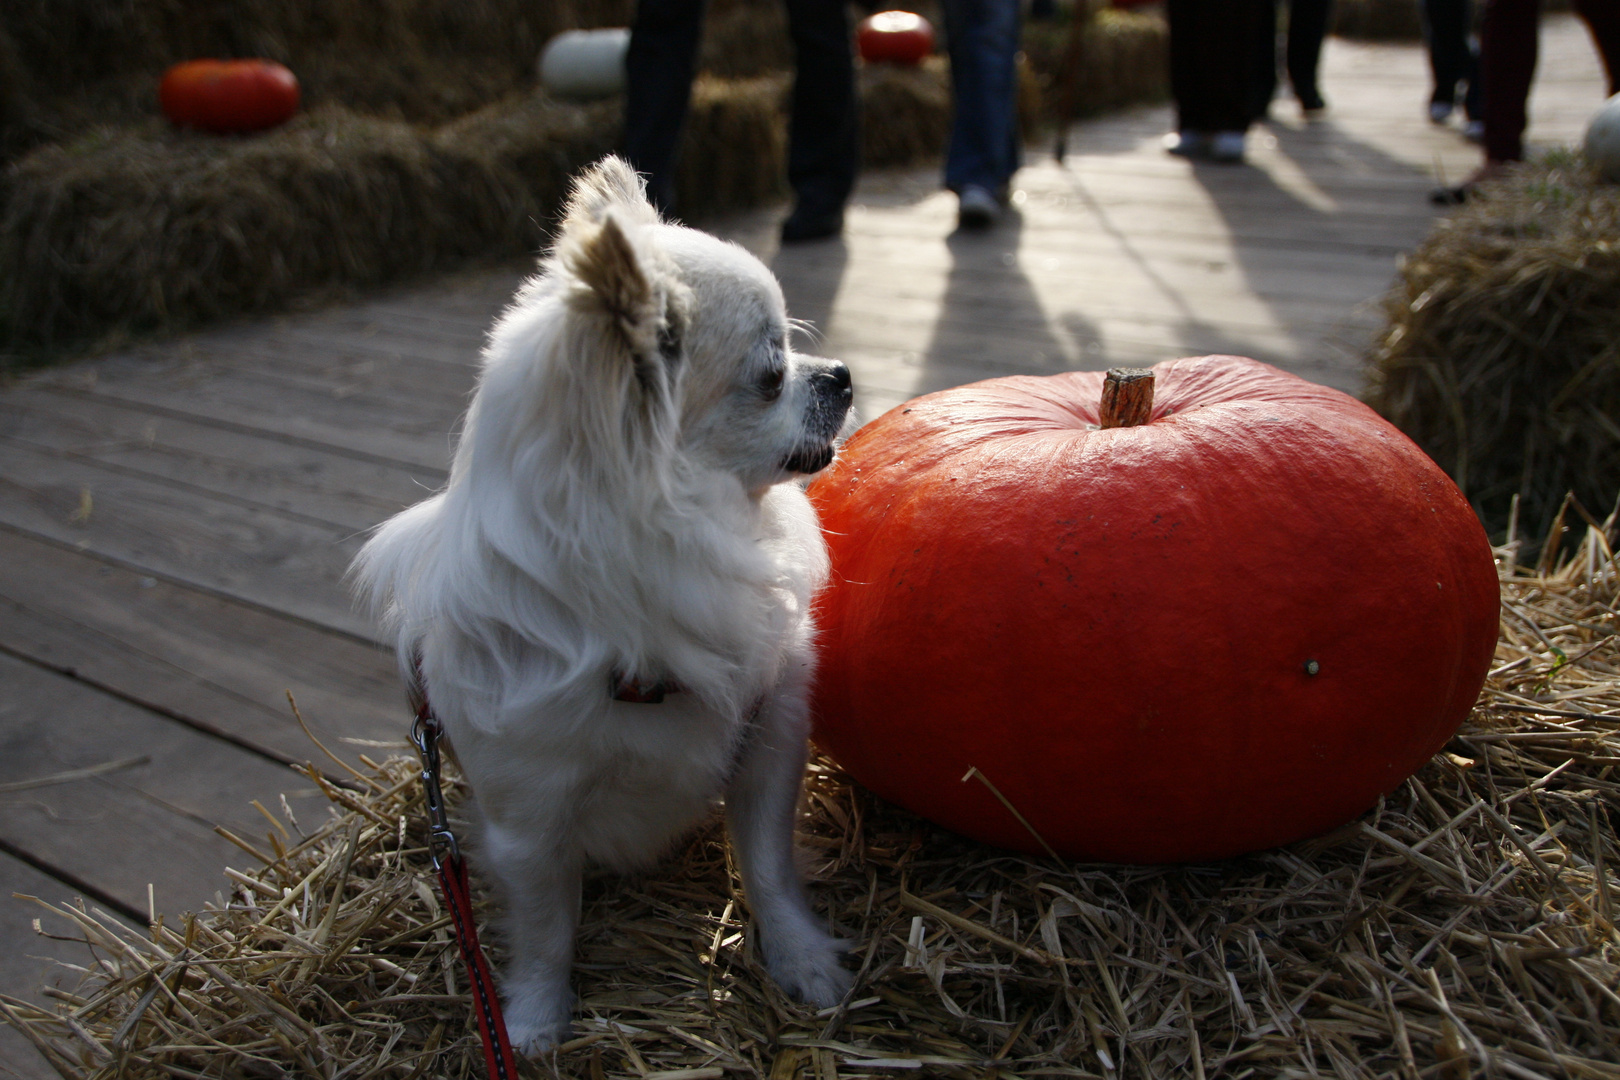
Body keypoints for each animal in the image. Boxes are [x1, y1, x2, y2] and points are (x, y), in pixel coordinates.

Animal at [351, 156, 861, 1049]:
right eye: (771, 376)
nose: (839, 375)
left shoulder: (767, 744)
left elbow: (768, 867)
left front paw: (800, 958)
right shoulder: (528, 825)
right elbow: (548, 927)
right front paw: (531, 1020)